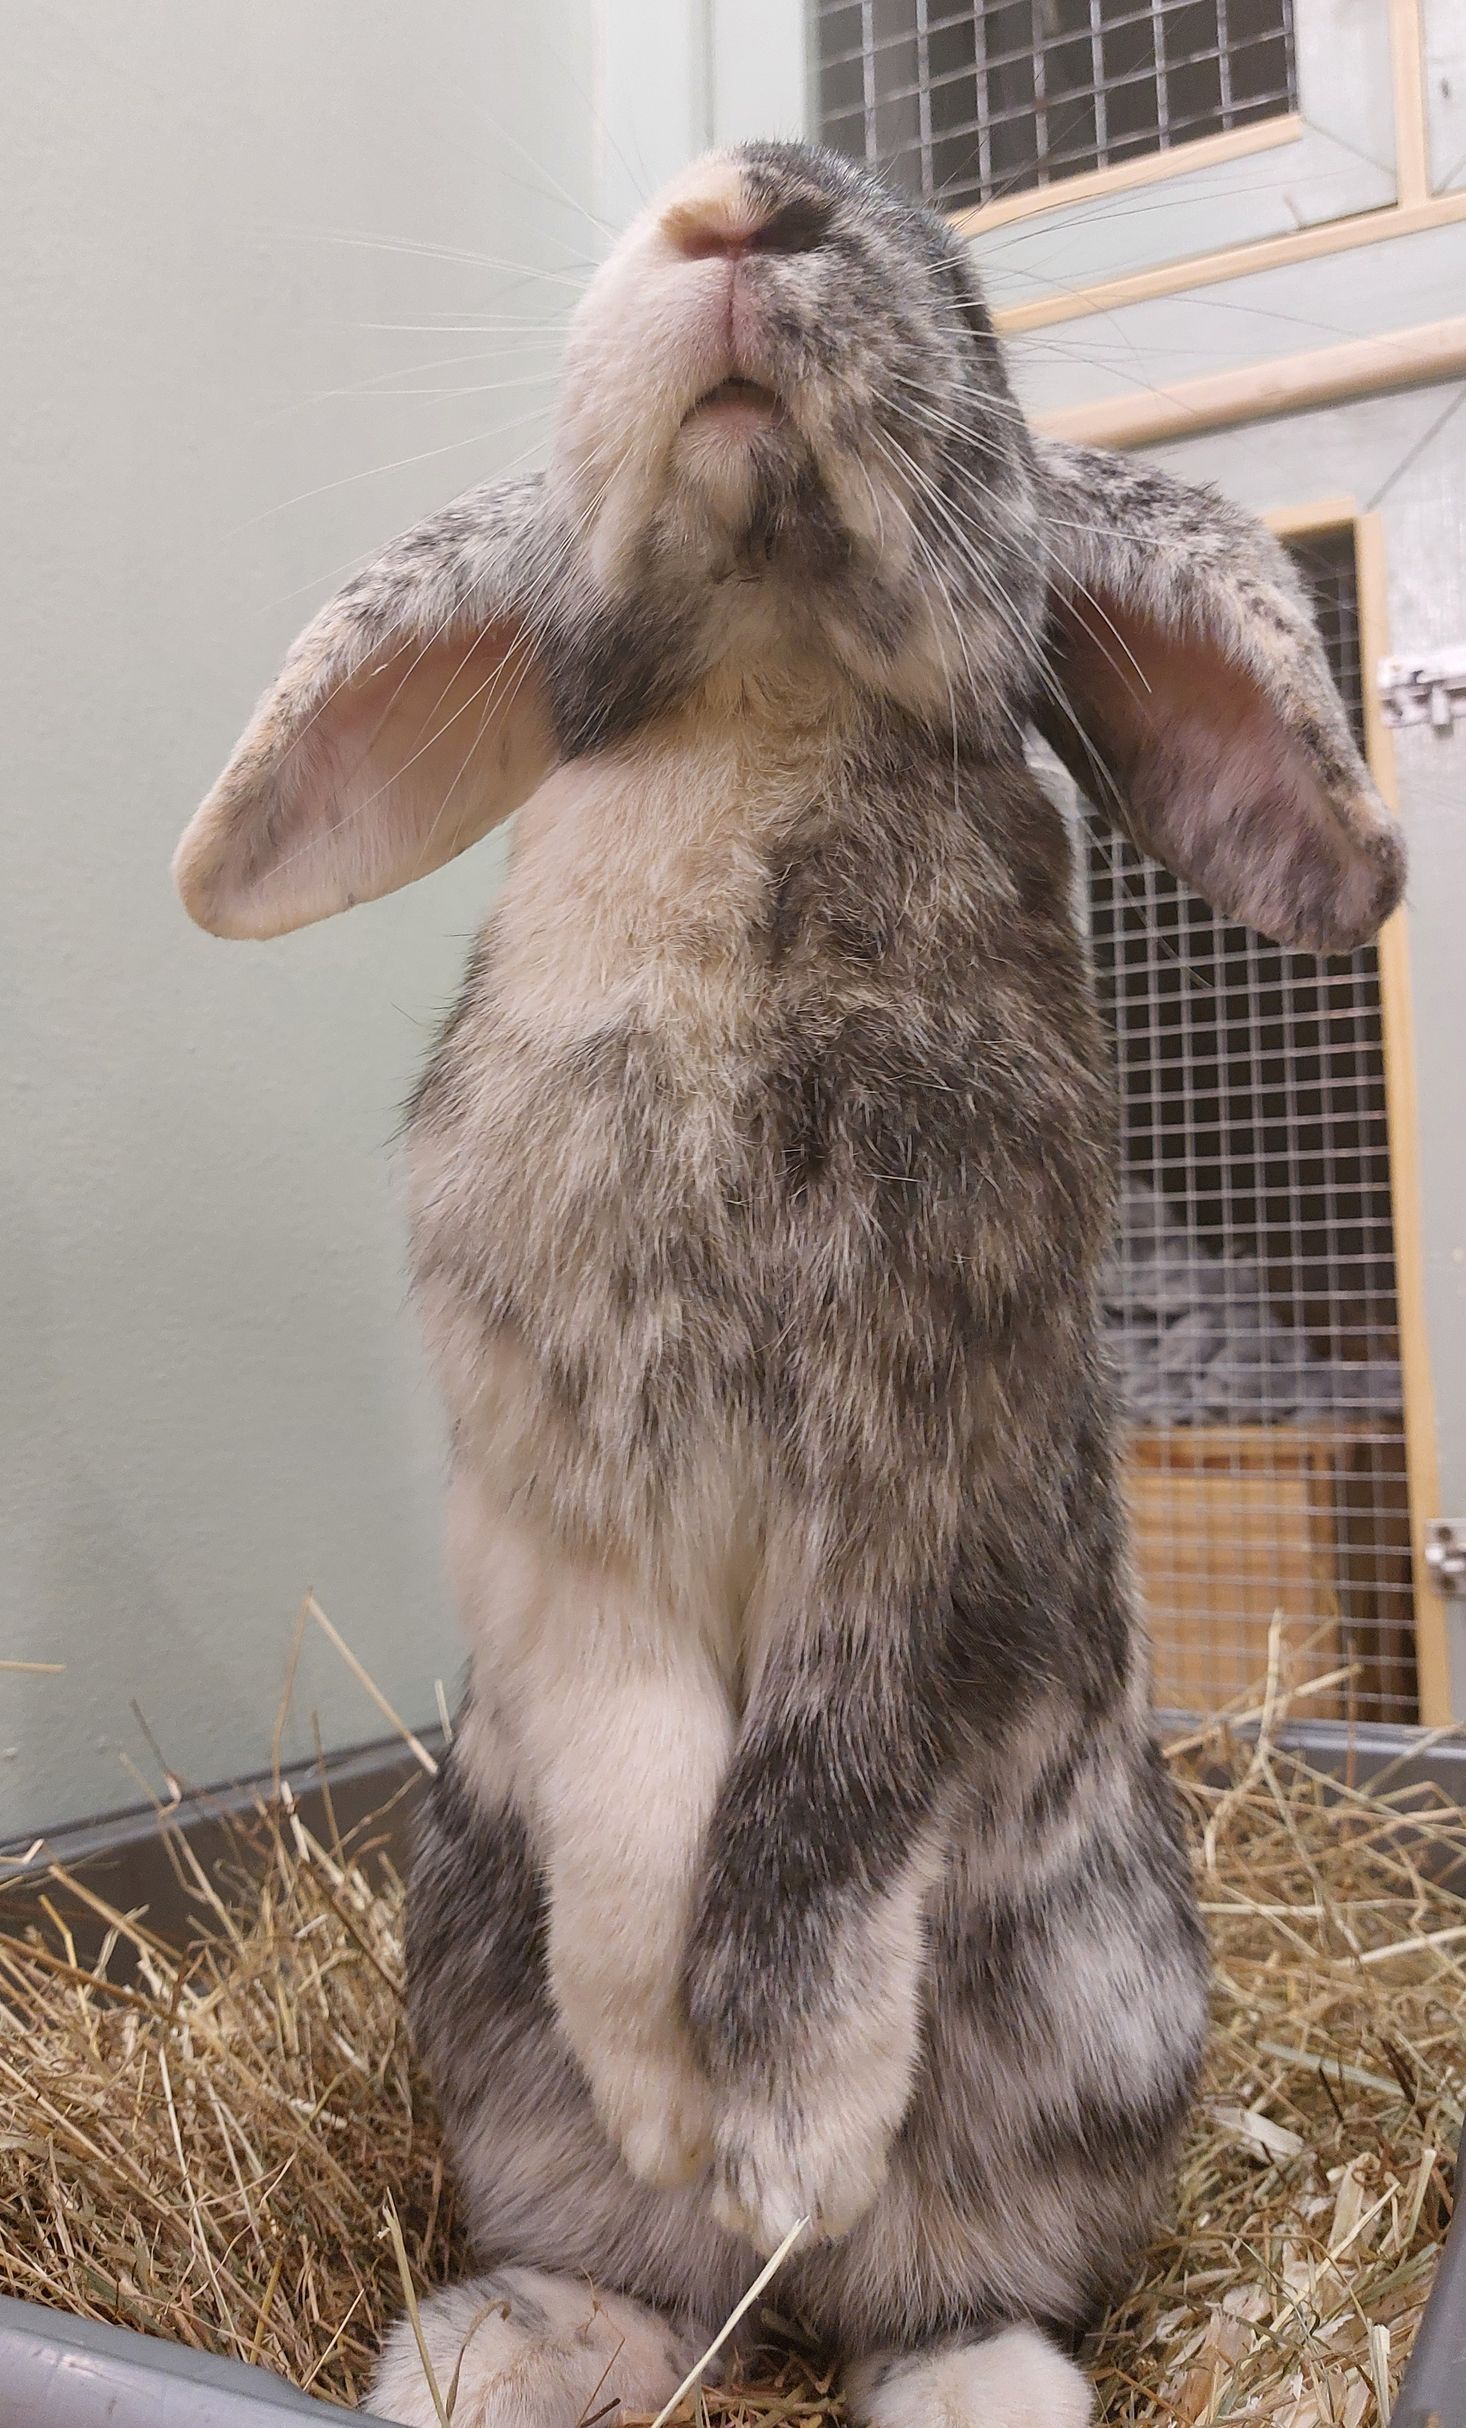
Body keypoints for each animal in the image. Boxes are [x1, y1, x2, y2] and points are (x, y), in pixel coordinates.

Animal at [174, 139, 1404, 2428]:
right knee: (661, 2293)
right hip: (486, 2040)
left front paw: (780, 2137)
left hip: (1086, 2045)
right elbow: (641, 1770)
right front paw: (675, 2104)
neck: (762, 682)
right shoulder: (552, 1509)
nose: (750, 194)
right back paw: (510, 2342)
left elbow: (816, 1816)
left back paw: (904, 2331)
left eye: (981, 310)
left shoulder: (926, 1502)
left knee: (946, 2298)